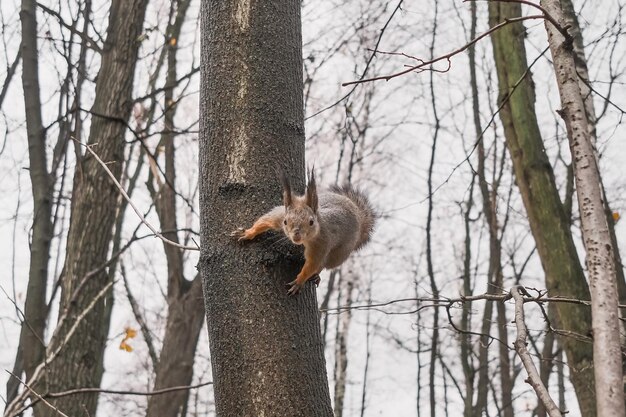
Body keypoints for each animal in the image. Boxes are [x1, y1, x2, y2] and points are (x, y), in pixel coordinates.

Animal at [230, 170, 372, 296]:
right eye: (285, 221)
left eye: (311, 222)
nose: (296, 236)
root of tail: (356, 210)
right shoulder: (279, 216)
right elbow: (265, 221)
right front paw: (247, 233)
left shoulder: (321, 243)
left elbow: (312, 264)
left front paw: (299, 281)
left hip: (340, 253)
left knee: (324, 264)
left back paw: (317, 275)